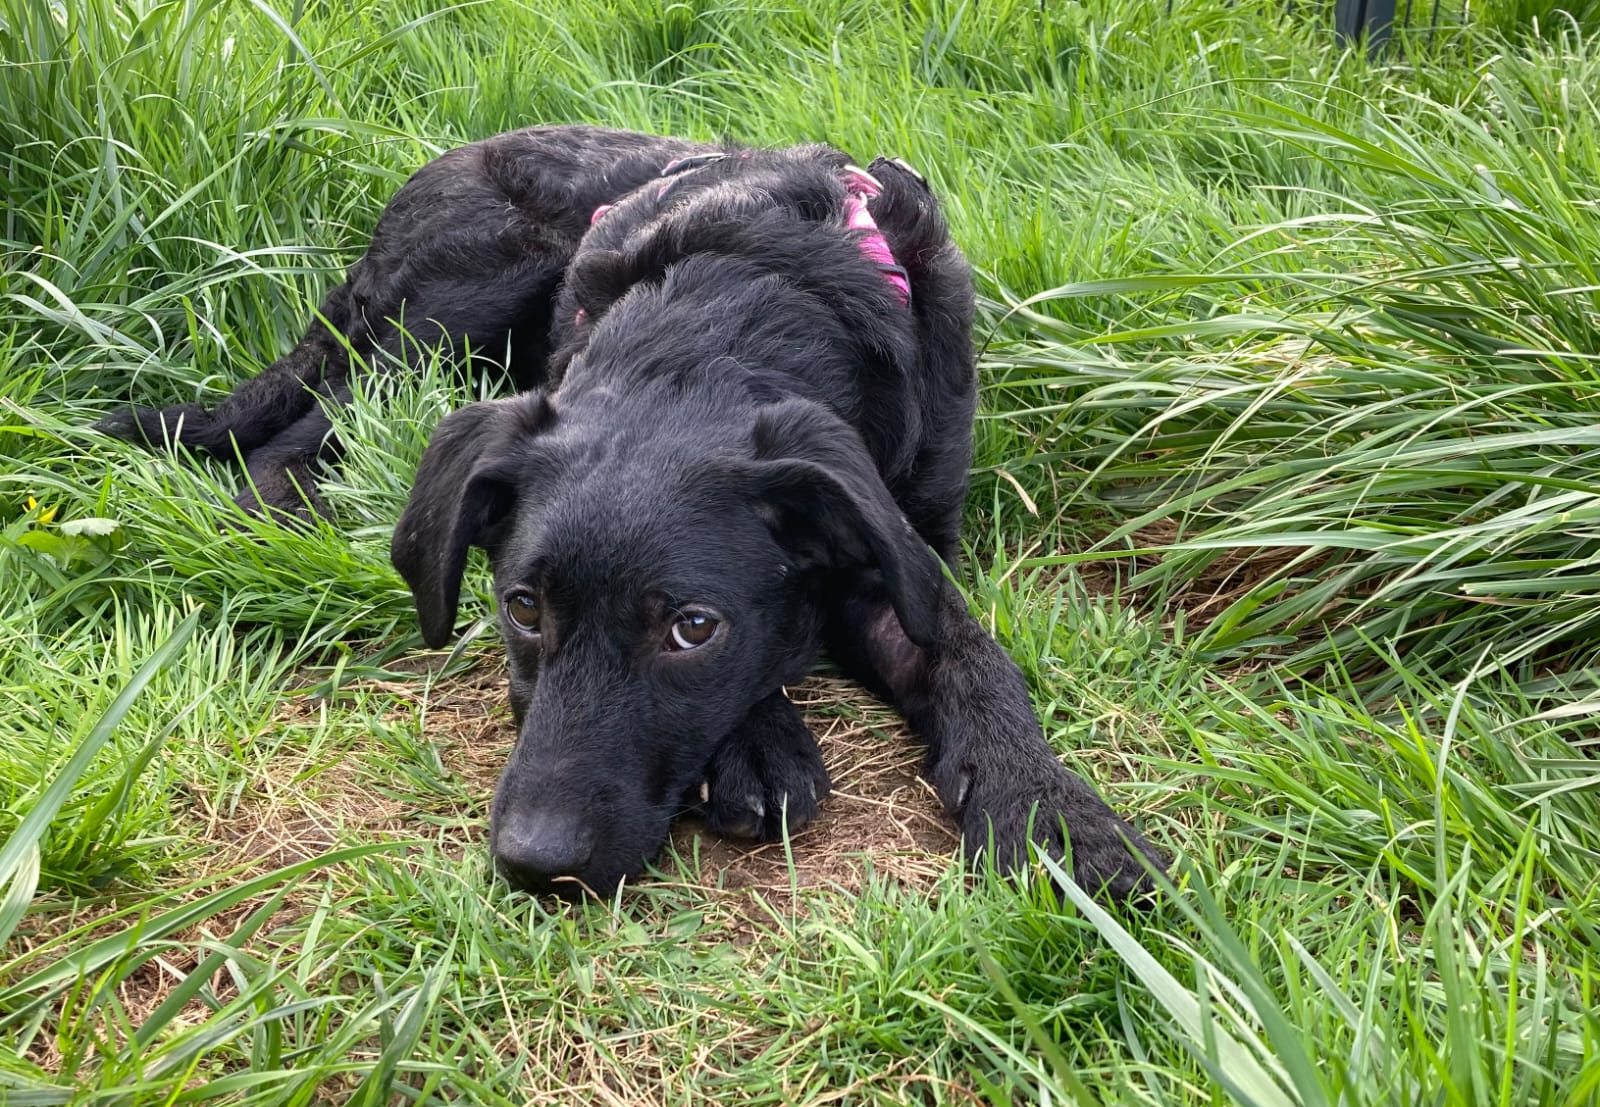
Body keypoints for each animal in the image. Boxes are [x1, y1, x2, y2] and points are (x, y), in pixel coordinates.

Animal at [99, 125, 1165, 900]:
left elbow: (971, 657)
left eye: (693, 627)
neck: (735, 303)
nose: (533, 863)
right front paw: (761, 741)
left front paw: (1054, 813)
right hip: (455, 306)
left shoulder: (905, 547)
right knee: (304, 435)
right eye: (523, 608)